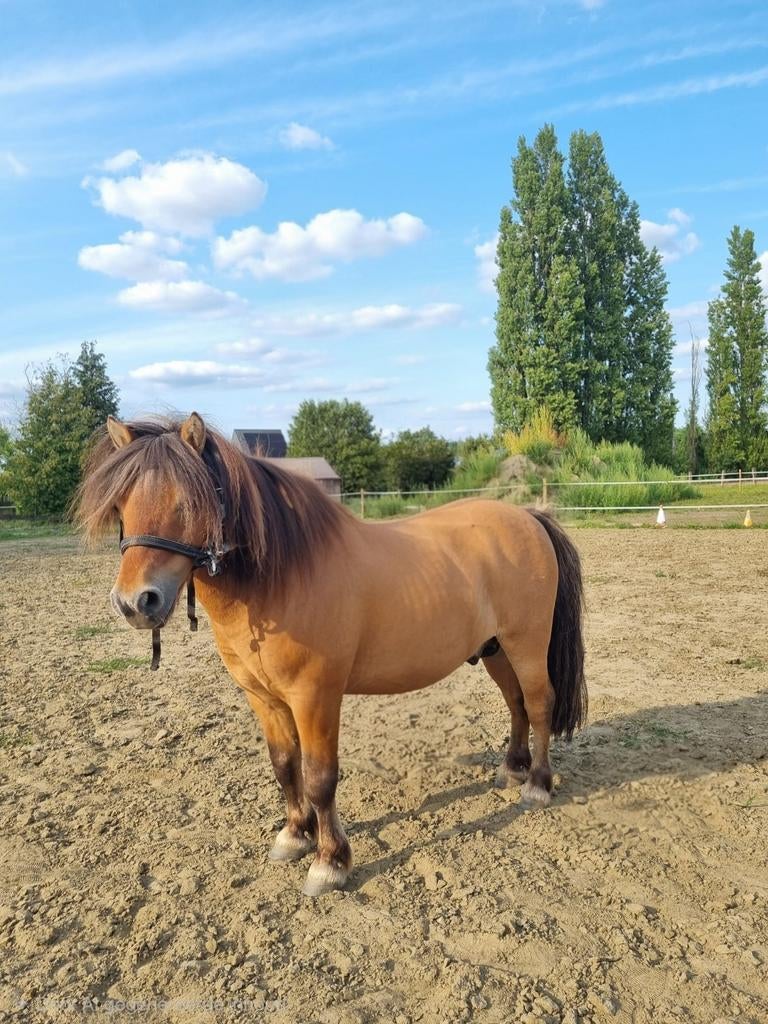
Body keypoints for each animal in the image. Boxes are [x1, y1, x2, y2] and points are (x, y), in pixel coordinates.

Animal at [75, 413, 587, 897]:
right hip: (496, 650)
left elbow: (320, 777)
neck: (282, 578)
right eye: (121, 506)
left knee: (539, 703)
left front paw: (329, 862)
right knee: (517, 704)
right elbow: (285, 767)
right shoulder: (264, 698)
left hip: (526, 643)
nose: (135, 603)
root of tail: (528, 517)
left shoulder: (315, 697)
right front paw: (294, 836)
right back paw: (511, 770)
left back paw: (537, 786)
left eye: (189, 502)